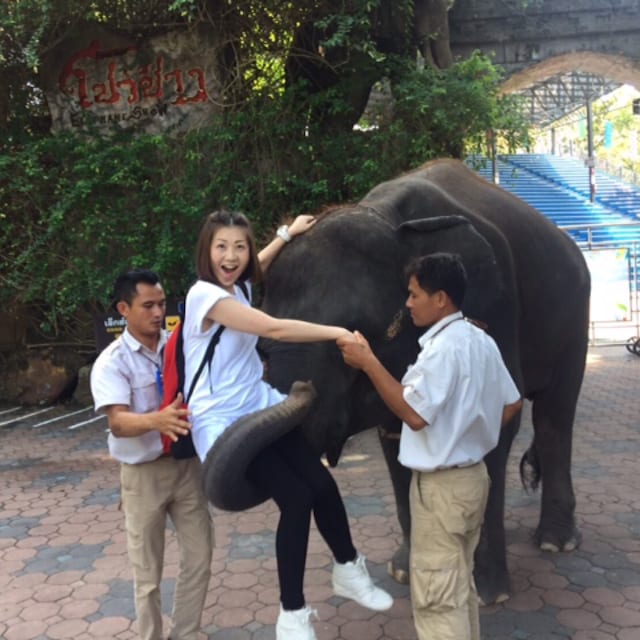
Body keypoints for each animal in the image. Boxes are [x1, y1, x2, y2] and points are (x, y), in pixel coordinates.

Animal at [230, 158, 589, 605]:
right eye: (261, 342)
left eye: (353, 333)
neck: (388, 218)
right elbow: (396, 438)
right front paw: (403, 572)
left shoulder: (495, 310)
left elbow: (495, 424)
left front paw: (487, 596)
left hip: (575, 316)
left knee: (556, 416)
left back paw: (557, 543)